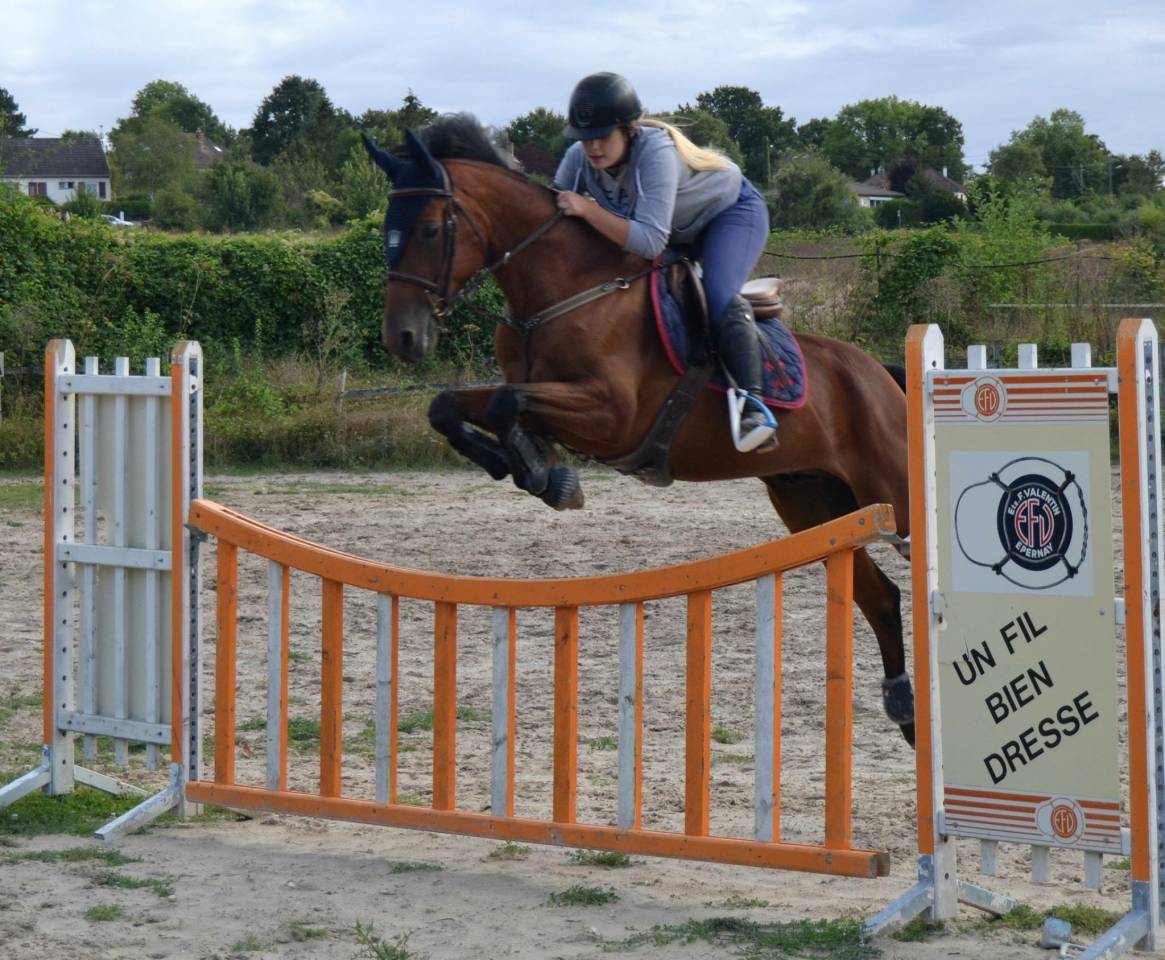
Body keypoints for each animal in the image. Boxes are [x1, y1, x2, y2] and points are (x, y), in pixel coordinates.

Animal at [363, 115, 916, 746]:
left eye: (431, 229)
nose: (403, 338)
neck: (559, 290)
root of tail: (880, 374)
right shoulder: (538, 394)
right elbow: (452, 406)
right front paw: (526, 466)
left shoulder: (612, 416)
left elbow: (506, 404)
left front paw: (545, 473)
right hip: (810, 501)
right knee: (879, 595)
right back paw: (905, 708)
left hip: (890, 489)